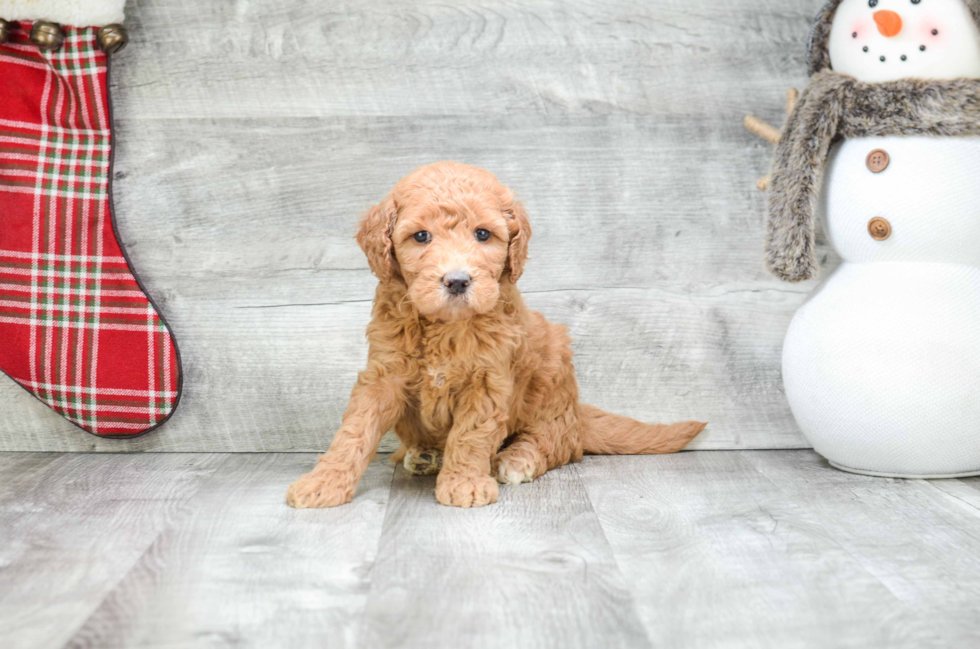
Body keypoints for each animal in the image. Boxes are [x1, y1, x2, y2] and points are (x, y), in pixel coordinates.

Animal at [284, 161, 704, 506]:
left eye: (483, 234)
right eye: (421, 237)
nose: (457, 280)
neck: (444, 326)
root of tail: (577, 412)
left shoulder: (487, 381)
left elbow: (470, 435)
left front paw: (464, 483)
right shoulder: (384, 373)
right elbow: (355, 431)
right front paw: (323, 483)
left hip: (551, 383)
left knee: (557, 443)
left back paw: (515, 460)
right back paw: (423, 454)